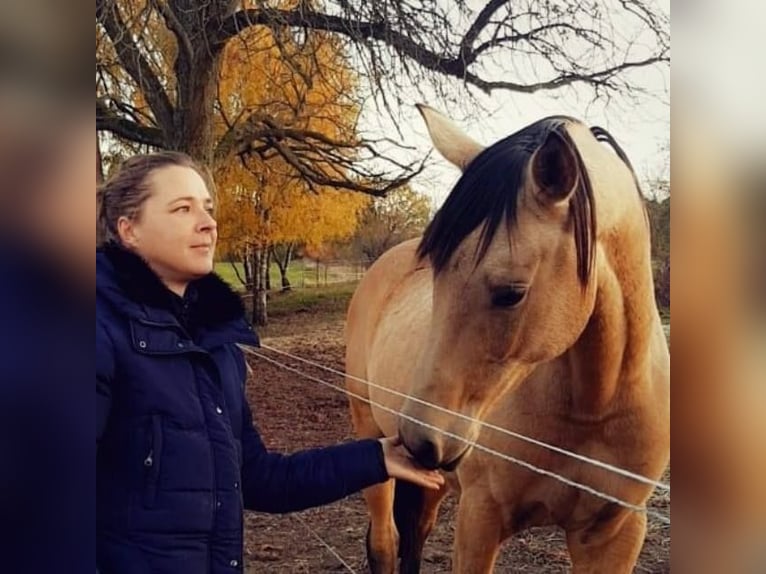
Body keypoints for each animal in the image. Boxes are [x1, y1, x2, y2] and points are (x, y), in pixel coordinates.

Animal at [344, 105, 670, 573]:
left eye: (511, 293)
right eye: (436, 273)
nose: (422, 439)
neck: (595, 406)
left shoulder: (616, 534)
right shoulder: (481, 517)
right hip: (373, 434)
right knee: (386, 542)